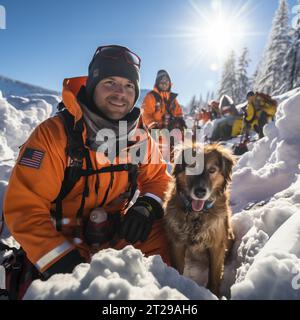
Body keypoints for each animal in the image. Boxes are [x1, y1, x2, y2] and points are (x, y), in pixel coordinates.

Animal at [164, 144, 234, 296]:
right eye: (192, 167)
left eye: (212, 170)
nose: (200, 192)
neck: (197, 215)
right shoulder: (177, 243)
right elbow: (178, 268)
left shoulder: (217, 245)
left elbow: (214, 274)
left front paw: (213, 293)